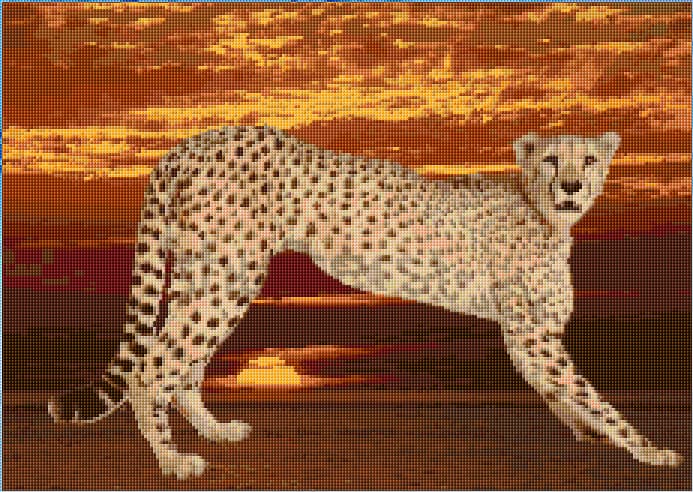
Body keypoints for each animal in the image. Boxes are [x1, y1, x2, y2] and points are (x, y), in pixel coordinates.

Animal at [48, 126, 682, 479]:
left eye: (589, 160)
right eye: (552, 159)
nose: (572, 185)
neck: (544, 212)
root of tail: (190, 142)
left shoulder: (527, 337)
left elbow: (565, 395)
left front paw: (589, 435)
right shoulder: (534, 333)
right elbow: (595, 397)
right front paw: (651, 451)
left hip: (206, 274)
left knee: (177, 362)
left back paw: (212, 431)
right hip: (228, 276)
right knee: (151, 366)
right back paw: (172, 461)